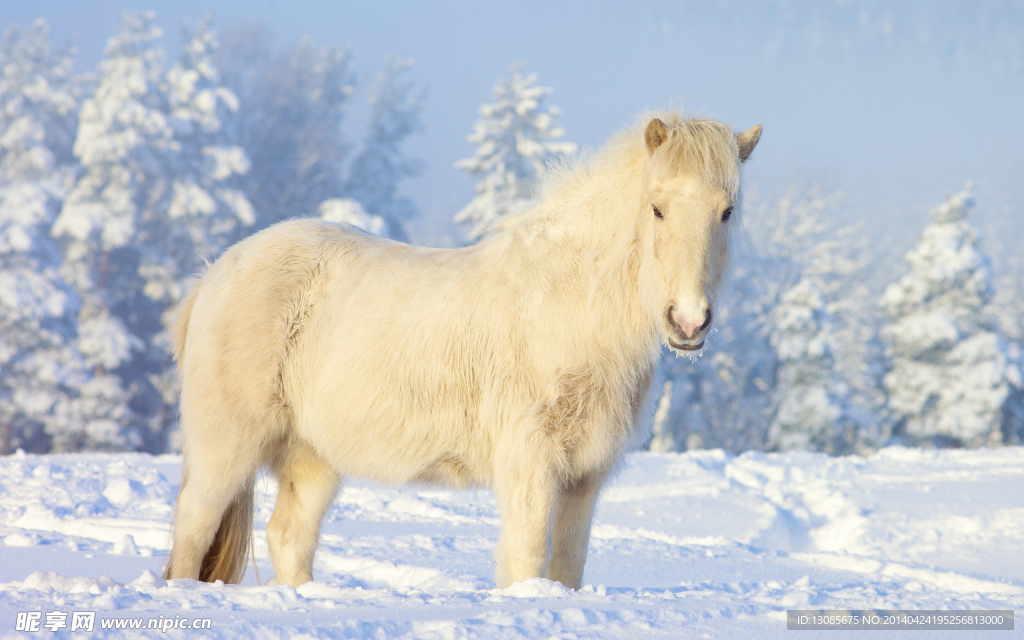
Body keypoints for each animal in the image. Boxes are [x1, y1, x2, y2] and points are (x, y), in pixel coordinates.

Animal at [163, 112, 761, 590]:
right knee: (193, 527)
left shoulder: (583, 478)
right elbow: (526, 560)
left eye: (727, 211)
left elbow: (566, 567)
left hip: (312, 456)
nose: (688, 321)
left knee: (289, 537)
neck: (569, 301)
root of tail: (215, 272)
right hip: (226, 446)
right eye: (656, 209)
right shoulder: (529, 464)